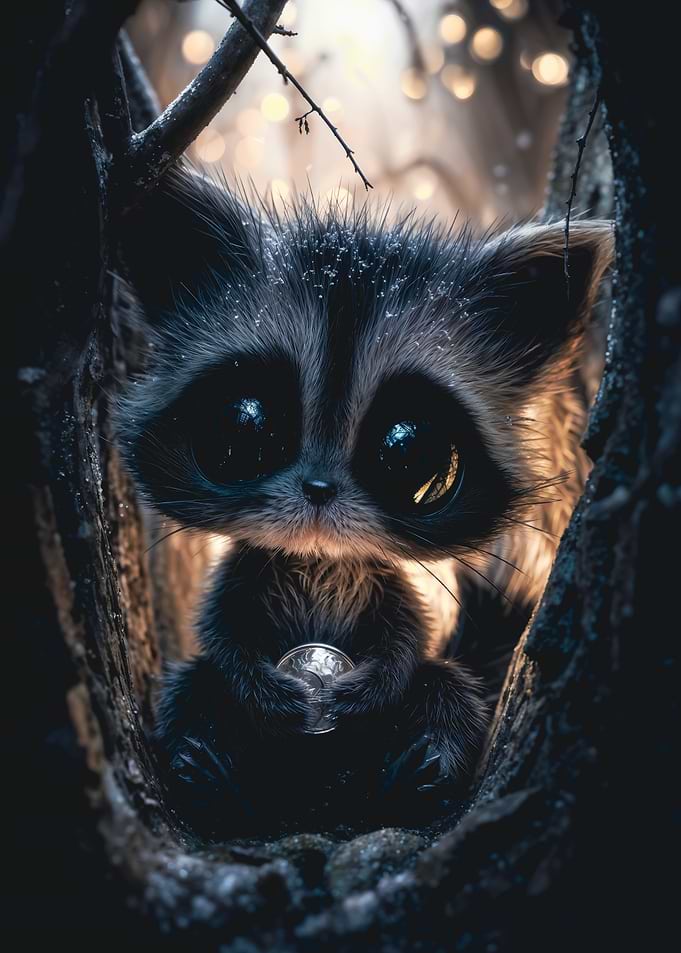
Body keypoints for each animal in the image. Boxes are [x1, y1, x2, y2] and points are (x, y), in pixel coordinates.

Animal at [115, 167, 612, 831]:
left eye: (408, 452)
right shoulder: (245, 573)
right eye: (245, 426)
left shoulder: (385, 586)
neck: (321, 558)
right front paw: (255, 683)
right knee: (193, 688)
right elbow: (223, 633)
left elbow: (407, 638)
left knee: (446, 687)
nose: (319, 490)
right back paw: (210, 774)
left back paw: (419, 771)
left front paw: (381, 683)